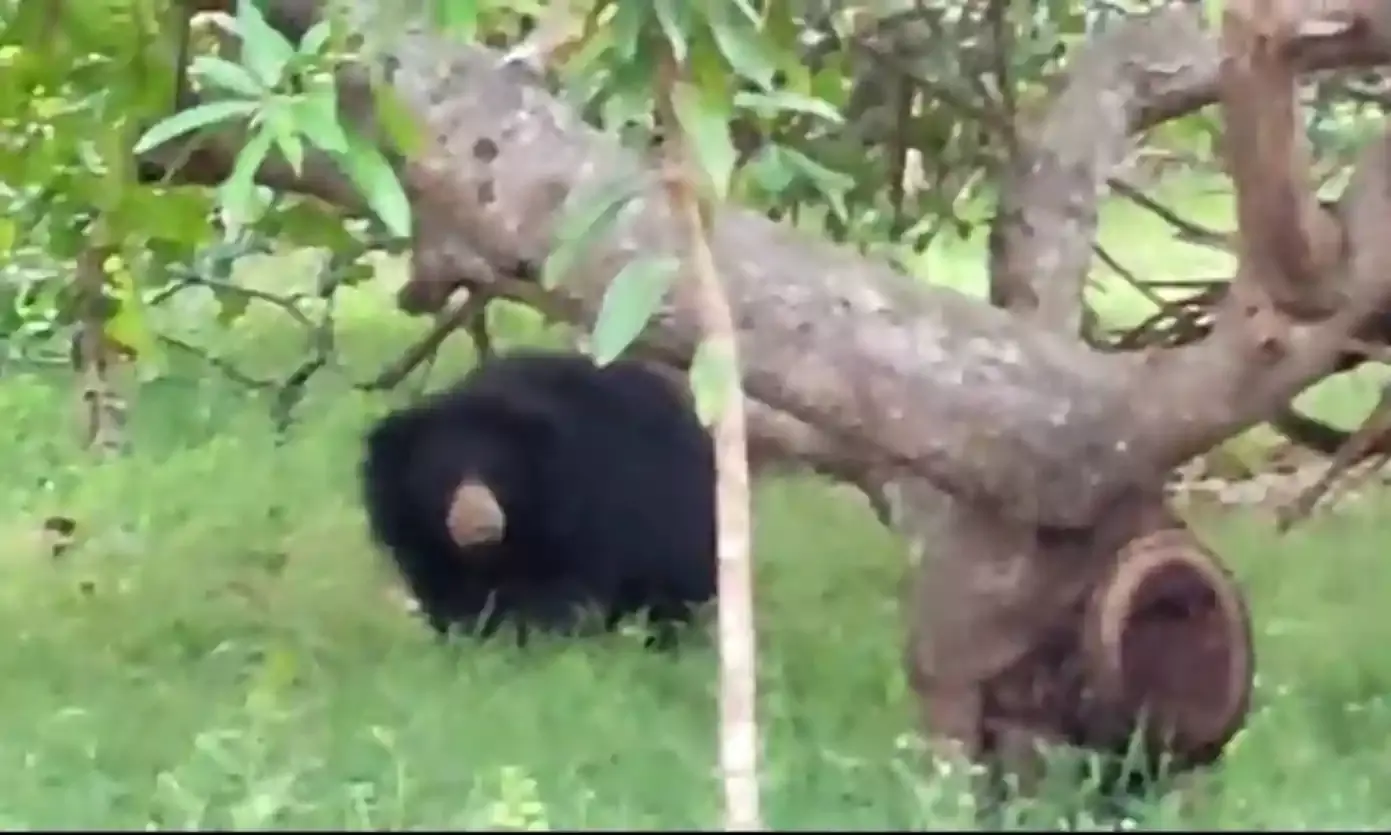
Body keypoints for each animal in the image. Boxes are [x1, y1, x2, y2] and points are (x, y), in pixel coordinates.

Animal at [360, 349, 718, 647]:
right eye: (443, 479)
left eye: (498, 475)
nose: (480, 525)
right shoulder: (415, 532)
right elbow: (446, 588)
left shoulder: (587, 510)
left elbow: (563, 588)